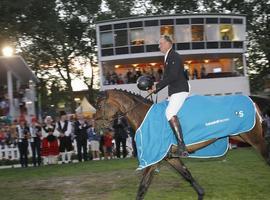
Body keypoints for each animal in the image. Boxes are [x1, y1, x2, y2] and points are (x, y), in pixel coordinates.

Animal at [94, 89, 268, 200]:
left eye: (100, 106)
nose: (94, 126)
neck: (144, 117)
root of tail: (252, 102)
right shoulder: (170, 158)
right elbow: (187, 175)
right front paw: (201, 194)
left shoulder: (153, 160)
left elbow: (142, 188)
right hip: (242, 136)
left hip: (254, 139)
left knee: (266, 156)